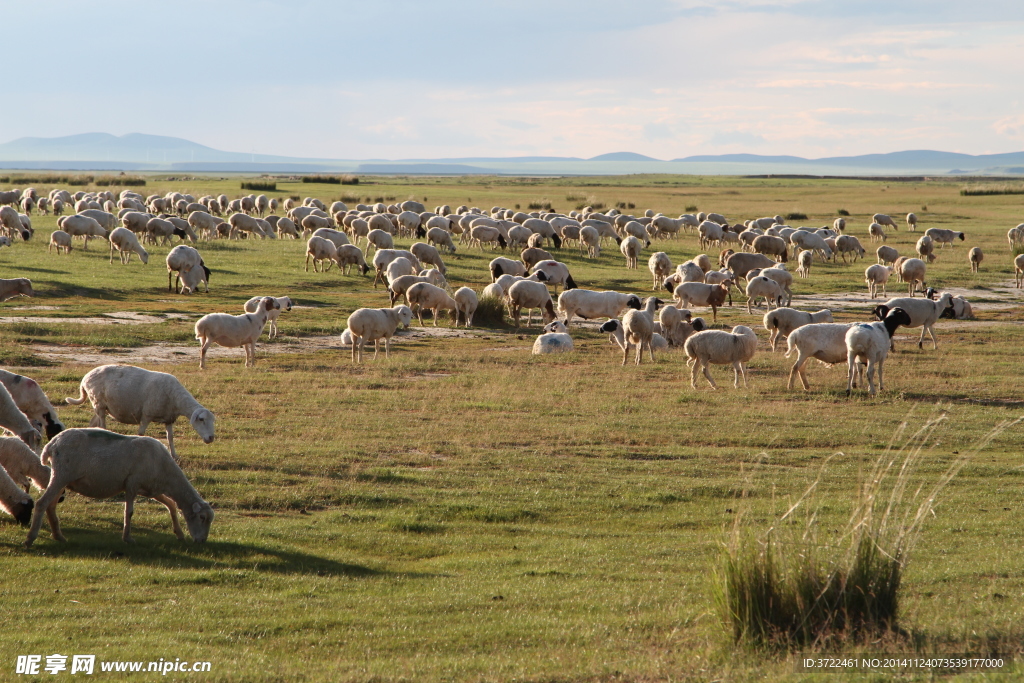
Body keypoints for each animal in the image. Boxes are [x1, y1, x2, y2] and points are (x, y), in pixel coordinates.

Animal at [25, 430, 216, 548]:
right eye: (202, 518)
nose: (202, 541)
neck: (166, 473)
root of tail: (52, 444)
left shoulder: (150, 488)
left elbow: (171, 504)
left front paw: (179, 534)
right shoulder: (132, 484)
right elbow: (129, 512)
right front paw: (128, 538)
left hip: (63, 479)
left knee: (50, 505)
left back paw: (59, 536)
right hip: (61, 475)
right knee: (42, 503)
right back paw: (30, 538)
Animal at [64, 366, 216, 462]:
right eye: (201, 419)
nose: (211, 438)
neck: (175, 398)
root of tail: (85, 378)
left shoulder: (169, 418)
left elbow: (170, 437)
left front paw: (174, 456)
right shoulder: (146, 415)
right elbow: (141, 434)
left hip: (99, 405)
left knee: (94, 423)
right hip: (98, 402)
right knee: (102, 425)